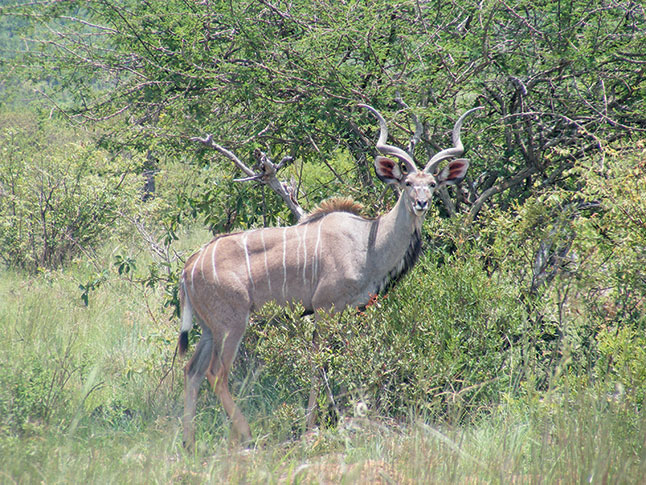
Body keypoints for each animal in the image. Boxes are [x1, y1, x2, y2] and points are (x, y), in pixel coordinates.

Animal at [177, 103, 480, 446]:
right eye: (406, 183)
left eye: (431, 184)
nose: (421, 204)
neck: (368, 242)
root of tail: (189, 267)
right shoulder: (325, 310)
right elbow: (318, 364)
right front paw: (312, 425)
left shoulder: (351, 312)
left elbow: (345, 359)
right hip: (232, 323)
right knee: (216, 373)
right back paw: (245, 433)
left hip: (209, 328)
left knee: (192, 371)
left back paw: (189, 442)